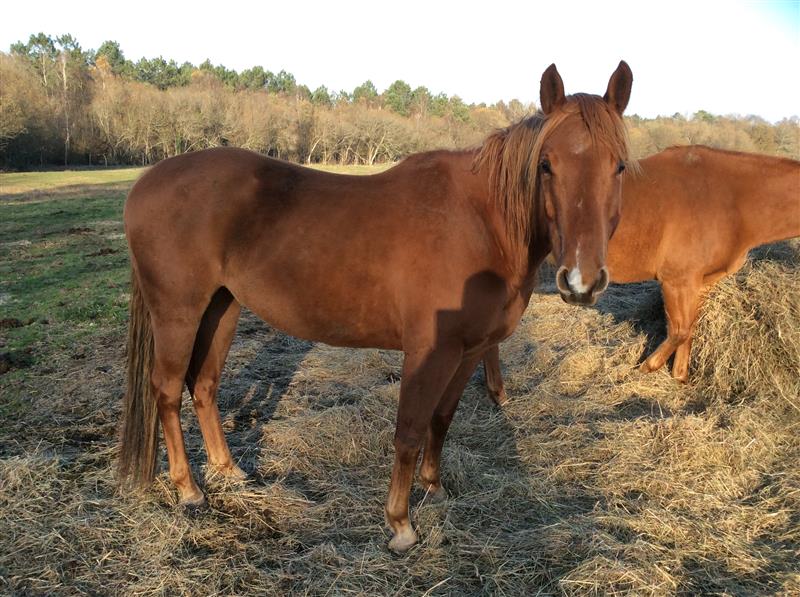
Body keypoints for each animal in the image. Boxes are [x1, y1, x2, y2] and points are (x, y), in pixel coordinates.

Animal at [118, 62, 633, 552]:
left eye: (620, 167)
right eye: (546, 164)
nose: (582, 280)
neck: (482, 222)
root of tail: (145, 181)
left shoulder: (469, 351)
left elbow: (441, 419)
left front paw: (434, 487)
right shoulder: (428, 351)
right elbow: (408, 429)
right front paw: (400, 524)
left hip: (222, 307)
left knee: (204, 385)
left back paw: (228, 471)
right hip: (178, 312)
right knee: (167, 390)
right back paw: (189, 490)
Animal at [483, 145, 800, 405]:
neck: (730, 198)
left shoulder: (699, 284)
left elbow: (689, 330)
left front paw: (679, 377)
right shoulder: (676, 281)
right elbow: (678, 330)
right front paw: (645, 367)